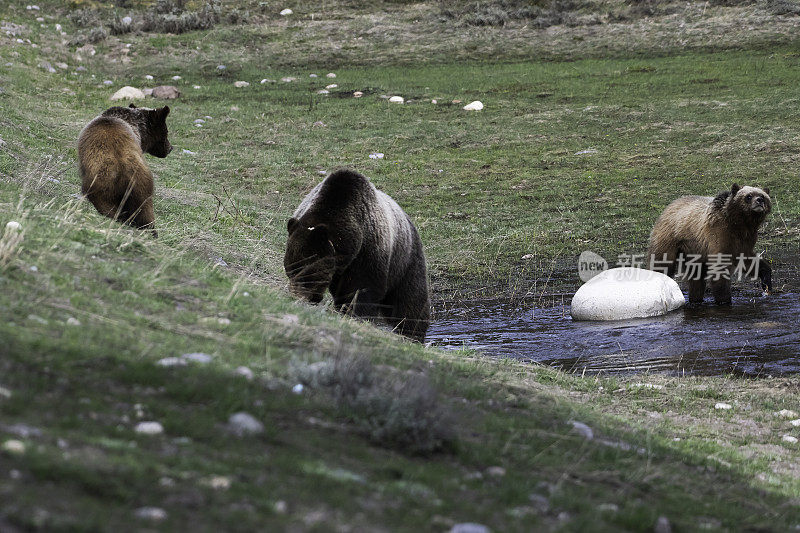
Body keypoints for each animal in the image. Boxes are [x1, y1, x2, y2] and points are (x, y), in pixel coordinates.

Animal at [78, 103, 172, 235]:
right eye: (166, 132)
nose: (170, 148)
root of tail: (123, 170)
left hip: (104, 184)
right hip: (140, 186)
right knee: (144, 210)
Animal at [282, 168, 432, 338]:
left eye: (306, 272)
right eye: (290, 270)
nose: (296, 296)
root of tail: (408, 219)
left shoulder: (368, 252)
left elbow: (362, 289)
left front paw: (355, 314)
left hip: (405, 261)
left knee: (410, 299)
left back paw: (412, 332)